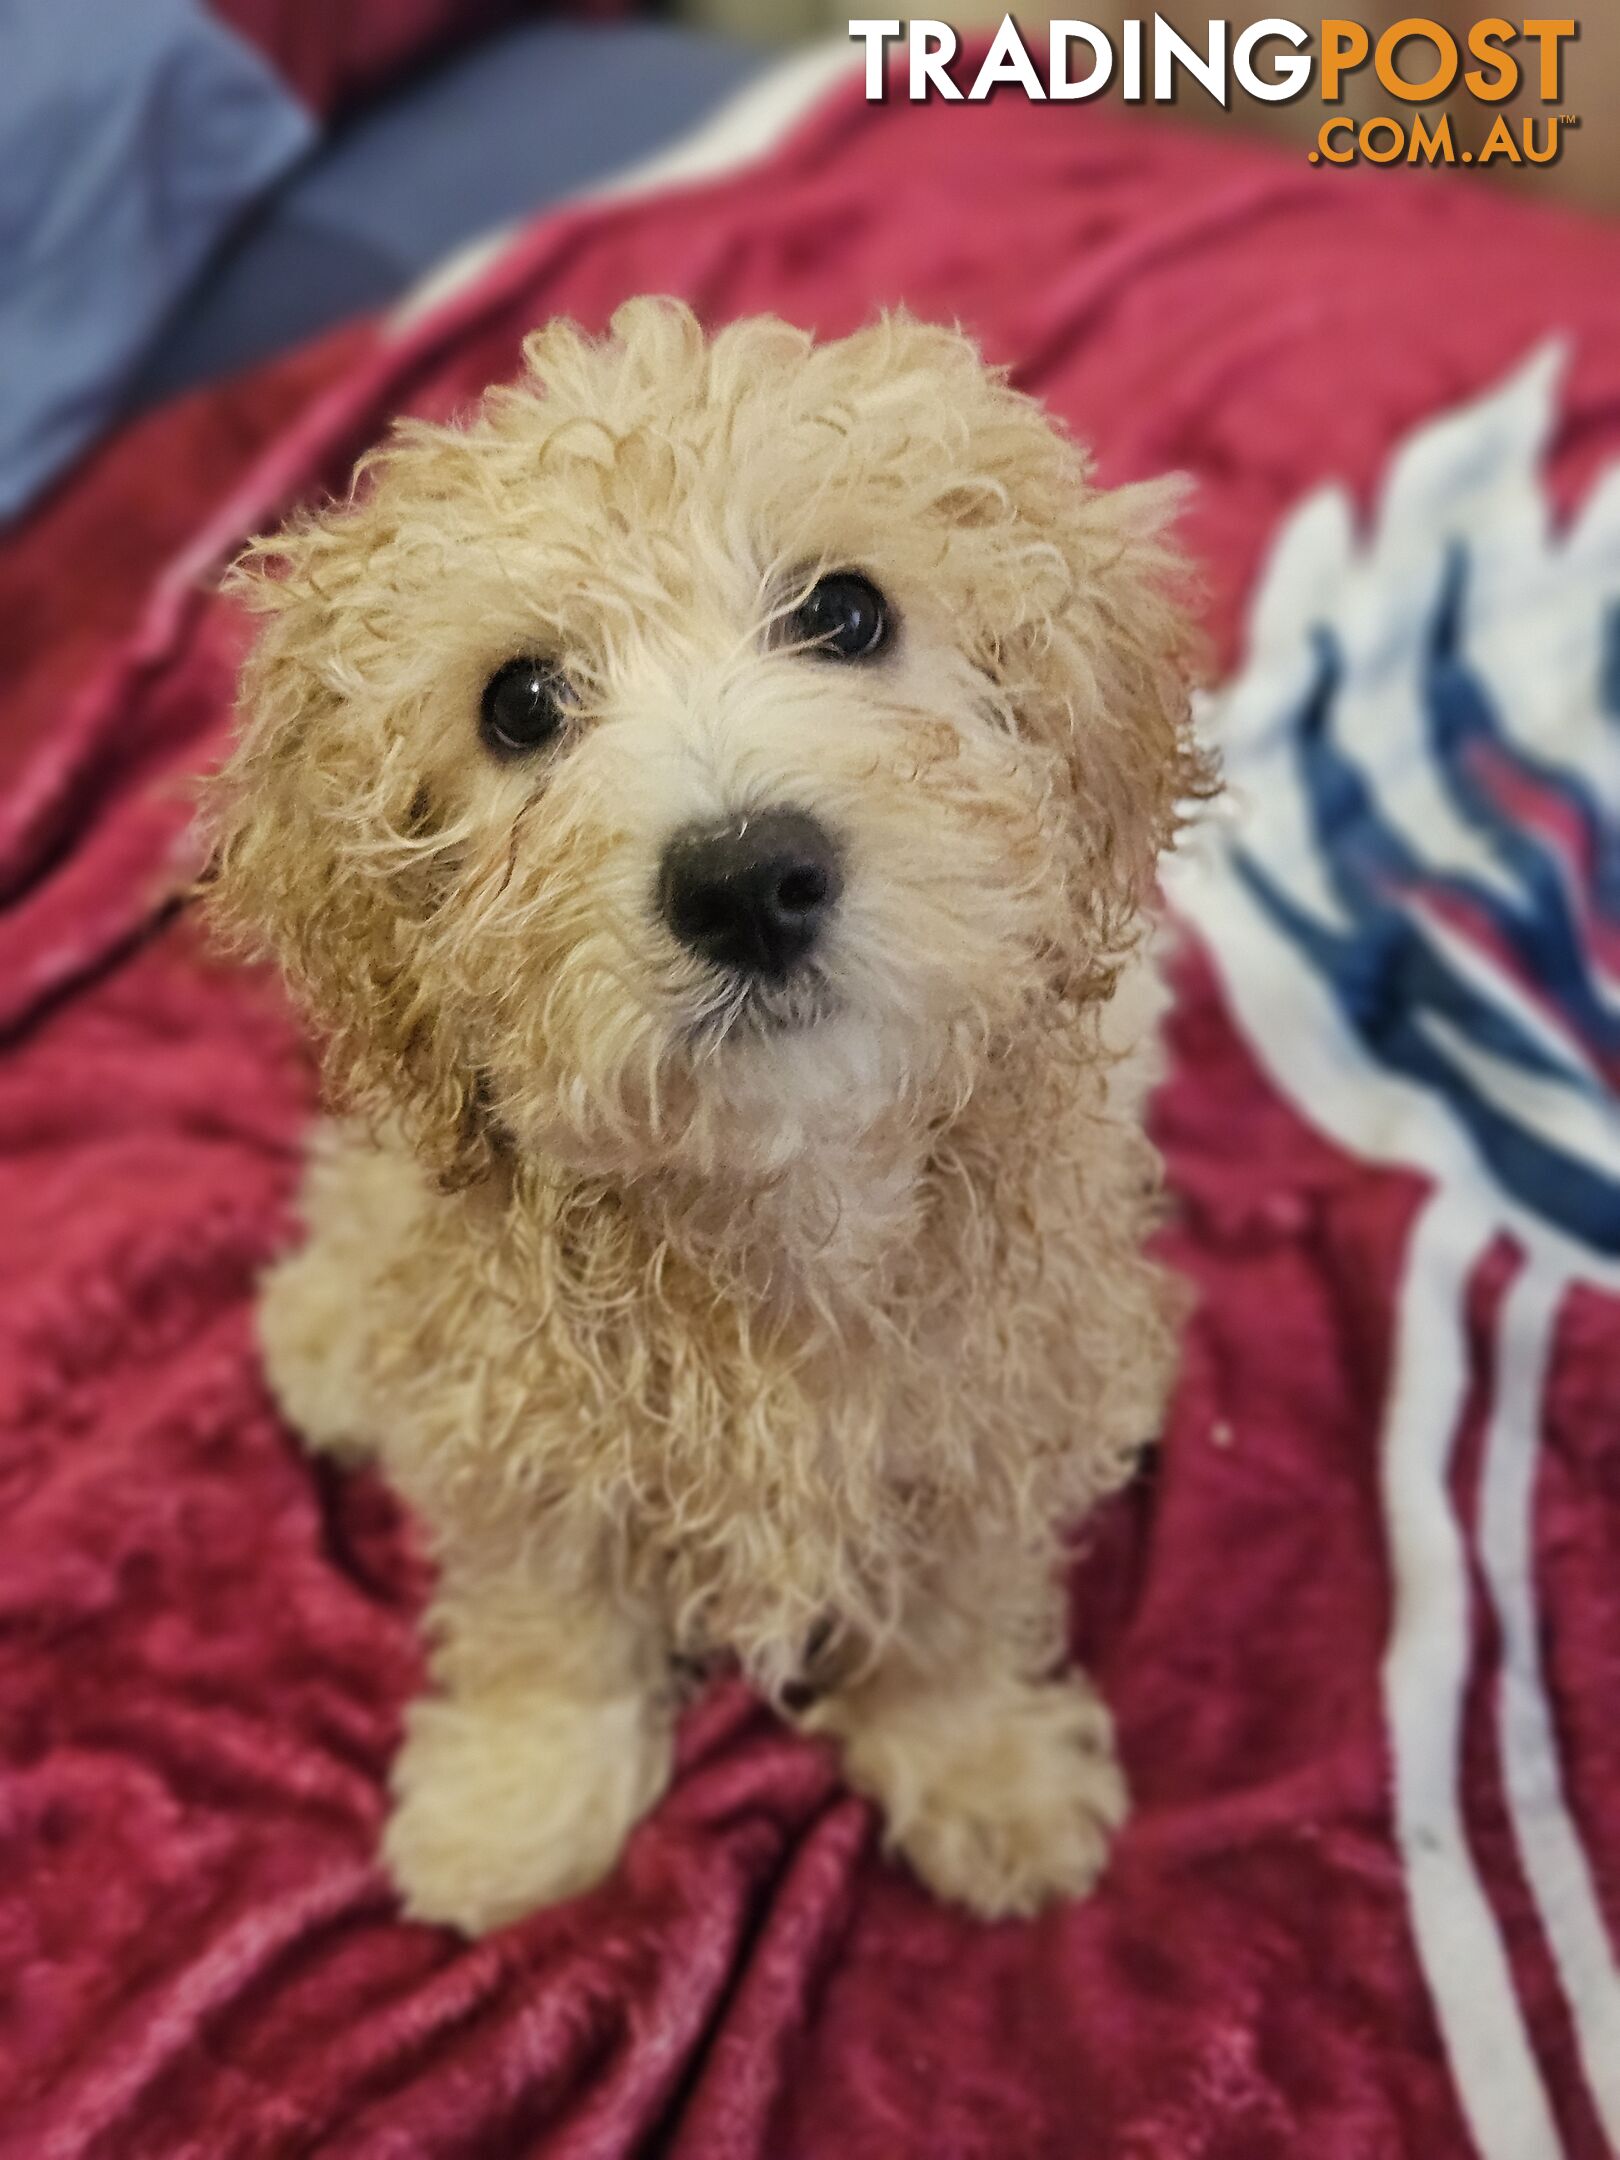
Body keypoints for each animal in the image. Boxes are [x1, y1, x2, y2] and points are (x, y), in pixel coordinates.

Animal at [203, 295, 1209, 1935]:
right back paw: (331, 1336)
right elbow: (546, 1614)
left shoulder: (989, 1406)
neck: (775, 1188)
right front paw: (515, 1805)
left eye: (847, 615)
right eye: (520, 703)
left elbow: (958, 1603)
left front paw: (982, 1767)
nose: (747, 879)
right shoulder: (523, 1418)